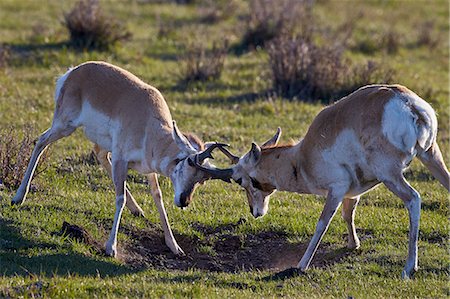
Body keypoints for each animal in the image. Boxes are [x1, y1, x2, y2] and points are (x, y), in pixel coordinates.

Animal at [11, 60, 230, 258]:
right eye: (185, 162)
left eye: (201, 179)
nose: (184, 201)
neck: (149, 124)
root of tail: (74, 71)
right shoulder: (121, 160)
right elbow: (120, 198)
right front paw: (111, 248)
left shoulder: (147, 169)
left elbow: (157, 197)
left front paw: (174, 246)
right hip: (65, 126)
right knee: (40, 141)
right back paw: (18, 197)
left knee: (99, 154)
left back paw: (137, 209)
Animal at [196, 84, 450, 278]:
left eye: (240, 180)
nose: (255, 212)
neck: (301, 157)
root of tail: (409, 104)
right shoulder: (351, 193)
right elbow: (348, 214)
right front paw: (353, 245)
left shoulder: (336, 190)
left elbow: (322, 224)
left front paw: (301, 265)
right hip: (431, 156)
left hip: (390, 175)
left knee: (414, 199)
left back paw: (409, 268)